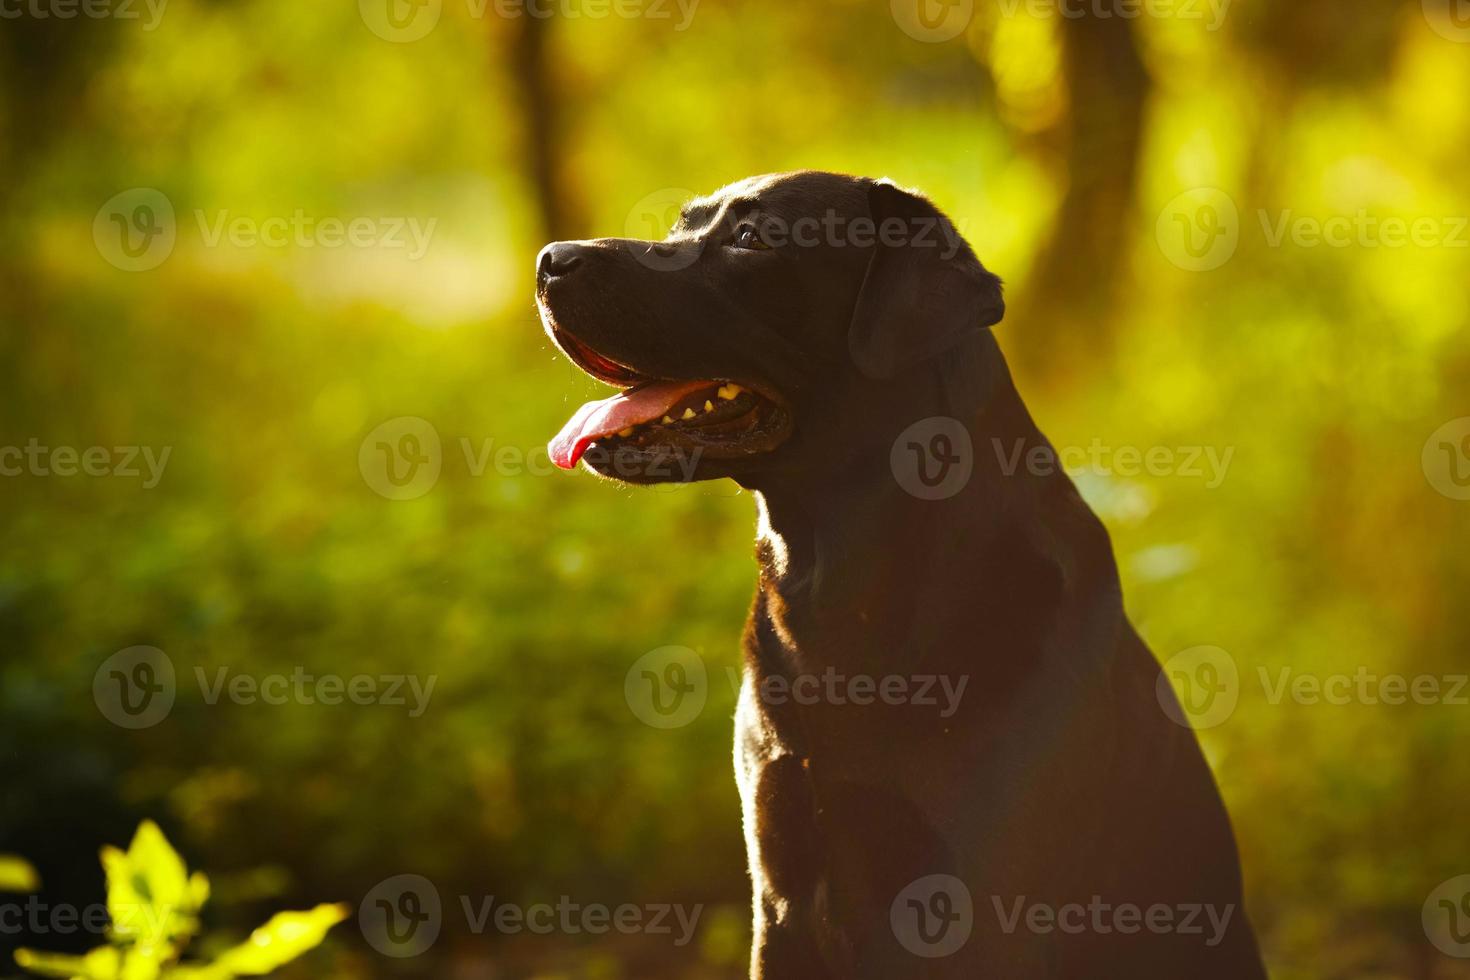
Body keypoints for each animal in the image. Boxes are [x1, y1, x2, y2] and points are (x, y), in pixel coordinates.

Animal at [535, 172, 1270, 975]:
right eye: (680, 225)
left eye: (752, 239)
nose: (550, 259)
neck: (838, 586)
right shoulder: (780, 896)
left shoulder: (981, 908)